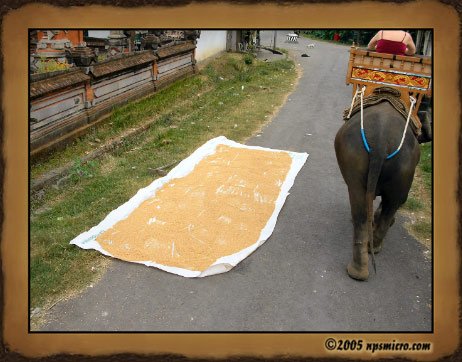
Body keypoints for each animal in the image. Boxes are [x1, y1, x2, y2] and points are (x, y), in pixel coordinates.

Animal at [334, 100, 420, 282]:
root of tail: (381, 142)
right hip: (403, 168)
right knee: (390, 205)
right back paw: (372, 249)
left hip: (357, 159)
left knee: (363, 210)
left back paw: (360, 268)